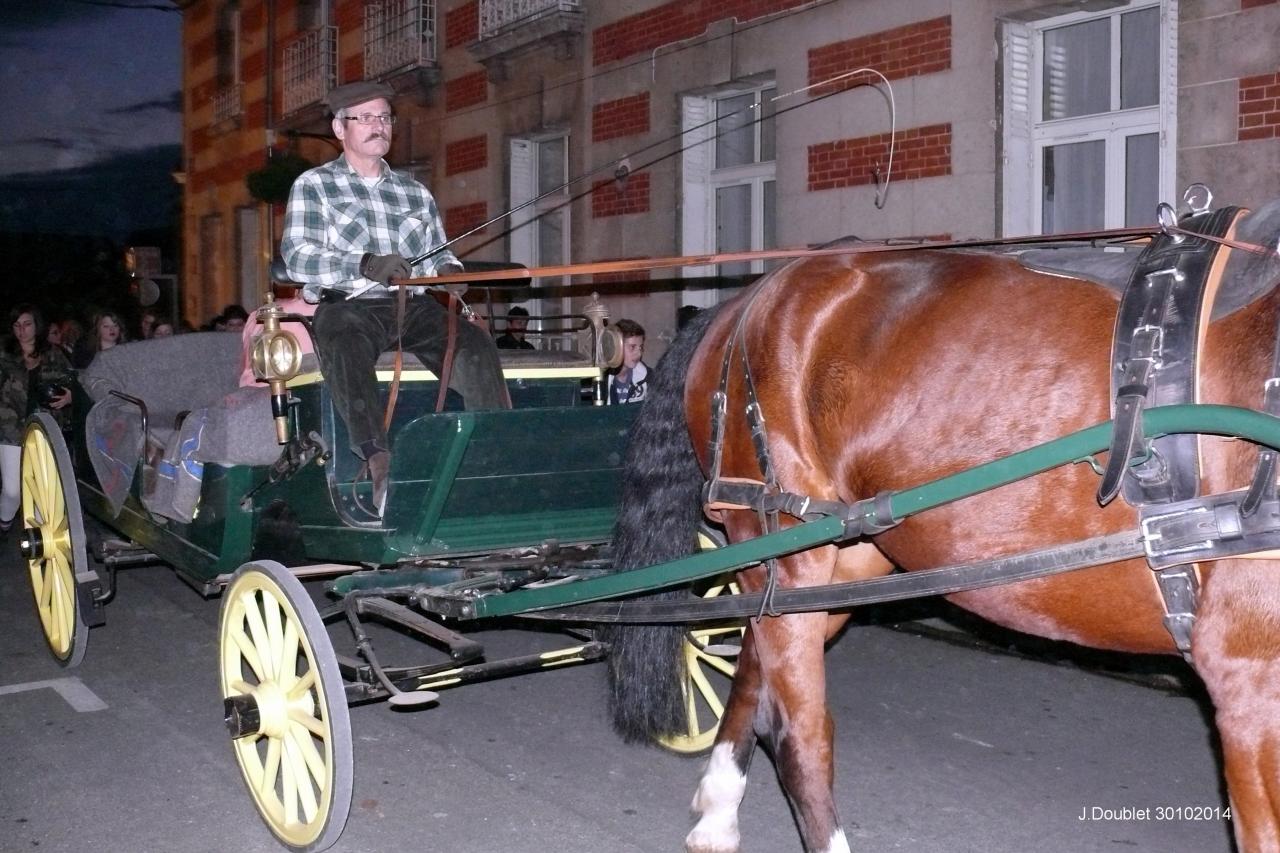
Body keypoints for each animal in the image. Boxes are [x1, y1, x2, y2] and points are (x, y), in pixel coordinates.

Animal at [604, 201, 1280, 850]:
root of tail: (743, 301)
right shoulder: (1249, 679)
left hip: (837, 560)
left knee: (756, 664)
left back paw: (716, 819)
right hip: (777, 536)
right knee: (797, 734)